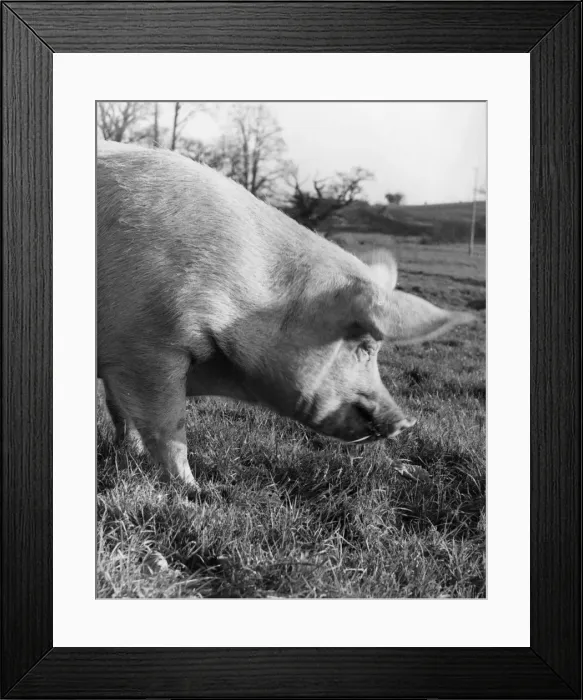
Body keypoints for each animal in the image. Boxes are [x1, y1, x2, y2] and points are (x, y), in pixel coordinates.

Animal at [97, 141, 474, 488]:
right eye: (366, 346)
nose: (405, 422)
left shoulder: (120, 358)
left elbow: (121, 412)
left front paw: (128, 455)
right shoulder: (152, 348)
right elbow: (168, 429)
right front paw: (196, 490)